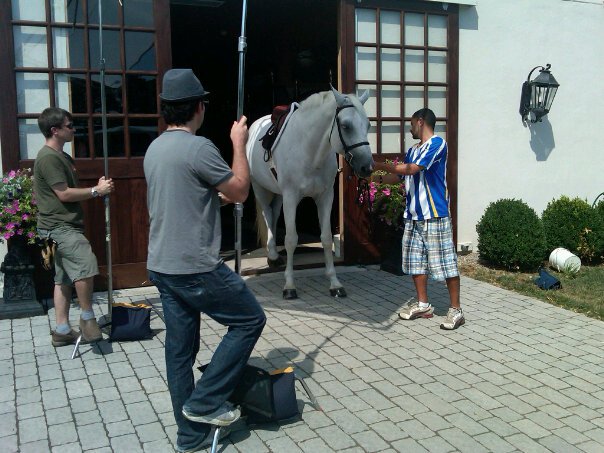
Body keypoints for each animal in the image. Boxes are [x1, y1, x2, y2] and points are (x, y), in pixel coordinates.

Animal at [246, 86, 374, 299]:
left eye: (368, 125)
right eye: (346, 126)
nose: (367, 167)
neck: (310, 151)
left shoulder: (325, 197)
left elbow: (327, 238)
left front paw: (334, 283)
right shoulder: (291, 197)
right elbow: (291, 240)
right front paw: (289, 286)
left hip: (278, 193)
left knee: (273, 214)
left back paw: (274, 256)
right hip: (260, 188)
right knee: (266, 213)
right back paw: (272, 255)